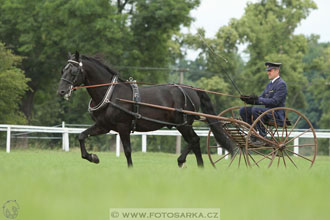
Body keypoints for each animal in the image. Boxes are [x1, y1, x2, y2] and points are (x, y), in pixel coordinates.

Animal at [57, 51, 235, 168]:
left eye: (74, 71)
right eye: (63, 70)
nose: (61, 91)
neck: (111, 94)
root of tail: (191, 89)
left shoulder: (123, 127)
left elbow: (128, 151)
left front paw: (130, 170)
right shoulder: (103, 126)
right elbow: (81, 136)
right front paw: (92, 157)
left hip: (183, 124)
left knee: (195, 140)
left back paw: (182, 161)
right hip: (183, 125)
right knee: (195, 142)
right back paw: (199, 167)